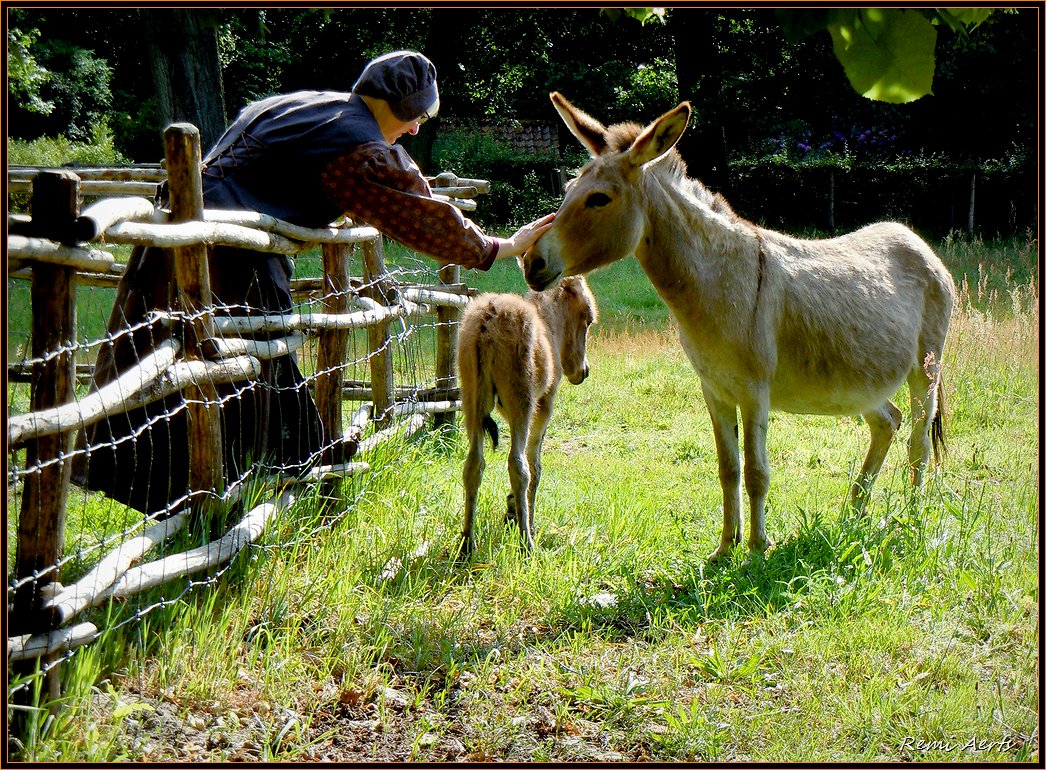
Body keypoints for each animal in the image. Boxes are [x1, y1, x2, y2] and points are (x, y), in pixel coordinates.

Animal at [458, 276, 598, 552]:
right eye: (587, 319)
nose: (583, 371)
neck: (550, 324)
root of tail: (488, 320)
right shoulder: (543, 404)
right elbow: (536, 465)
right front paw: (524, 519)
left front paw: (511, 510)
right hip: (521, 400)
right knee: (518, 465)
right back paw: (527, 542)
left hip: (472, 400)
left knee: (473, 464)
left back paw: (468, 543)